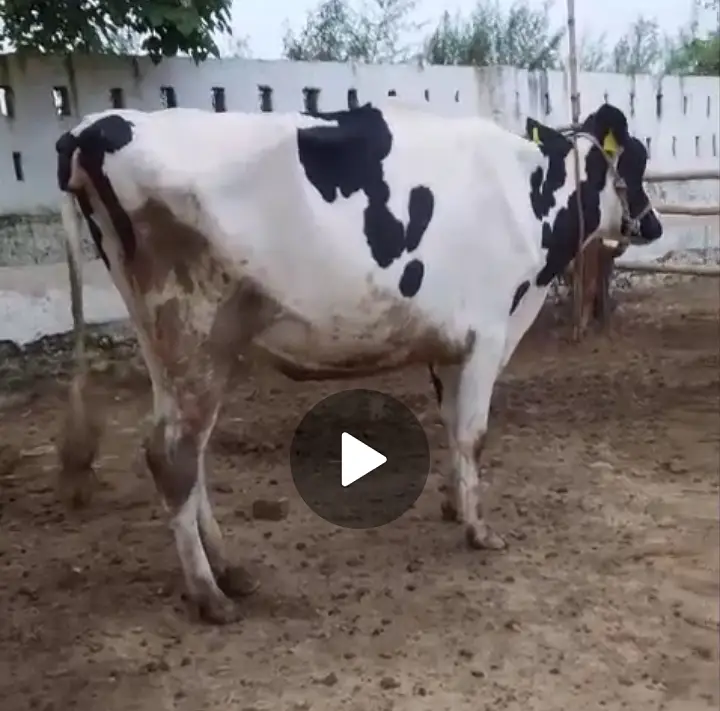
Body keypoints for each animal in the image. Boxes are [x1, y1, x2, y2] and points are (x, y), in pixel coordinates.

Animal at [54, 101, 662, 623]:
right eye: (634, 159)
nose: (652, 225)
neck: (527, 194)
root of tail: (95, 126)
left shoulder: (449, 346)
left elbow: (451, 427)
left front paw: (453, 504)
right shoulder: (489, 333)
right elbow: (473, 435)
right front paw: (479, 530)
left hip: (168, 345)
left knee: (188, 454)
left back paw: (230, 571)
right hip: (193, 330)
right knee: (172, 455)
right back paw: (209, 593)